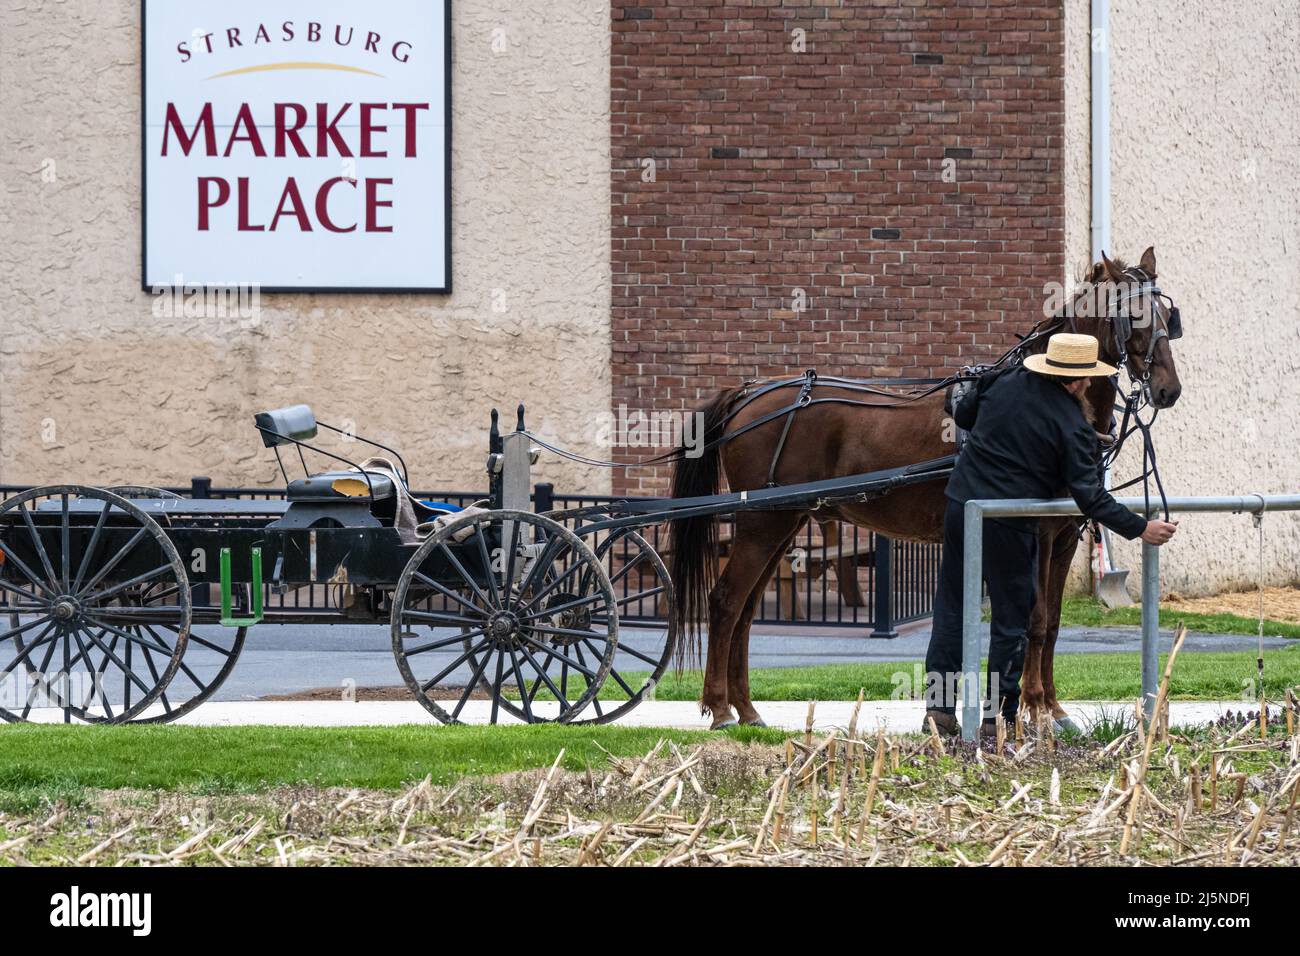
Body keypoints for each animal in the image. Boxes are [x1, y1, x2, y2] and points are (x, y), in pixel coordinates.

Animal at [665, 248, 1185, 733]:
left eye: (1167, 316)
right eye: (1134, 315)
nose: (1169, 389)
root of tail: (747, 394)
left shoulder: (1064, 538)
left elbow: (1052, 624)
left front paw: (1052, 709)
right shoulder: (1035, 531)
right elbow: (1034, 621)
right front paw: (1034, 710)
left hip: (783, 521)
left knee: (746, 610)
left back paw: (747, 709)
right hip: (761, 523)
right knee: (726, 602)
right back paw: (720, 708)